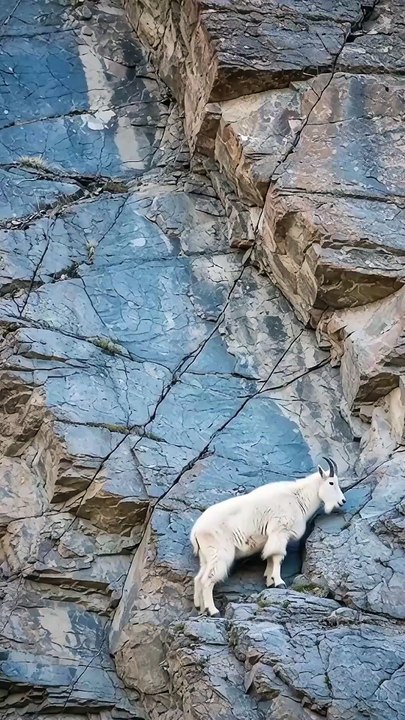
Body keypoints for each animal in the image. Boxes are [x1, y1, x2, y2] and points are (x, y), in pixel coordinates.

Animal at [190, 457, 345, 615]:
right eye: (331, 482)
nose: (342, 501)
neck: (298, 498)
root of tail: (195, 531)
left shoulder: (273, 537)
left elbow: (270, 557)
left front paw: (270, 581)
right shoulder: (279, 531)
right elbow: (277, 557)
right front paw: (279, 582)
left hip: (206, 556)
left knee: (198, 579)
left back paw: (201, 608)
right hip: (219, 552)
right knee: (207, 580)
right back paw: (213, 610)